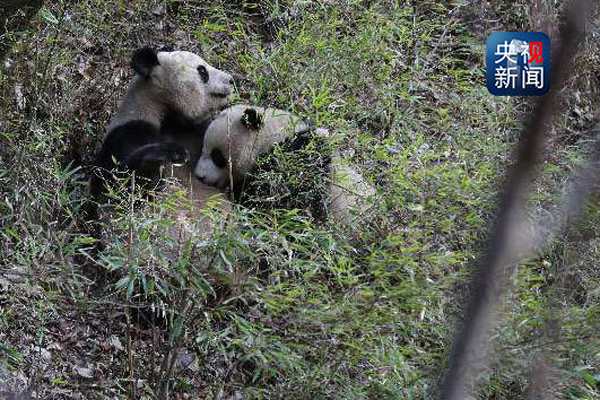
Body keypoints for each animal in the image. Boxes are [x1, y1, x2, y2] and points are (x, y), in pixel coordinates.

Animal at [90, 46, 233, 206]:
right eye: (202, 71)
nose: (231, 80)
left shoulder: (199, 129)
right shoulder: (127, 131)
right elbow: (116, 186)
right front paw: (174, 153)